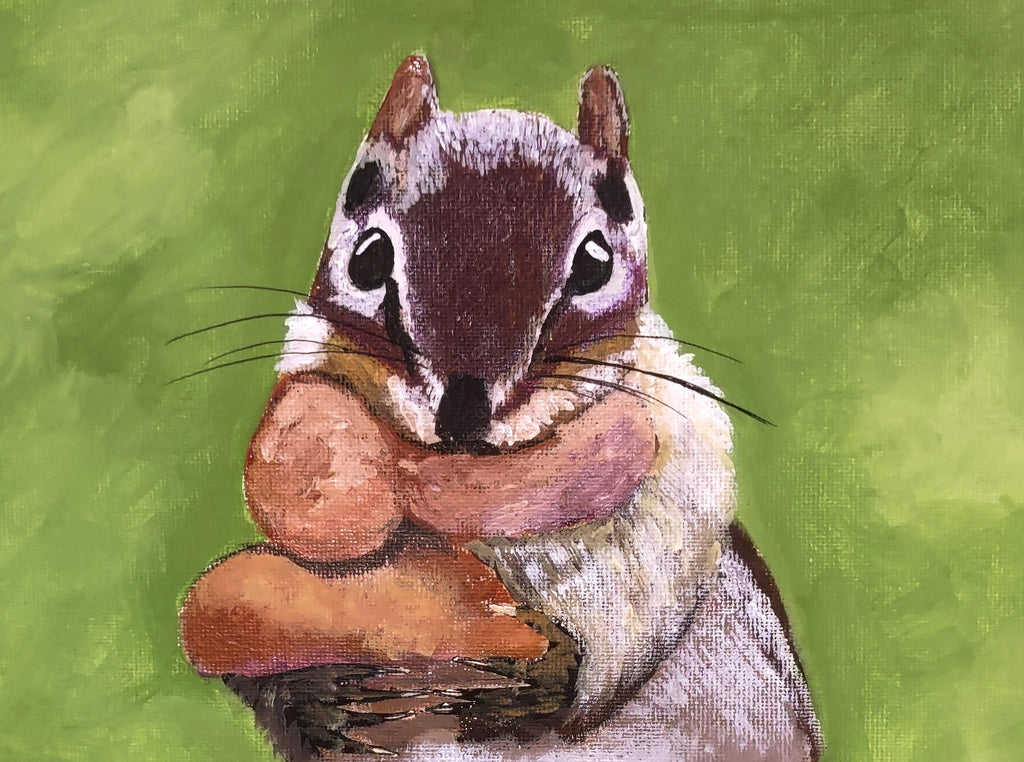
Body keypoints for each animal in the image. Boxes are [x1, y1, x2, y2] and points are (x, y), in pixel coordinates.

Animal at [180, 56, 822, 761]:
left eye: (595, 262)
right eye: (368, 256)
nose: (462, 411)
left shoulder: (681, 457)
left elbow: (647, 606)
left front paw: (550, 672)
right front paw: (314, 699)